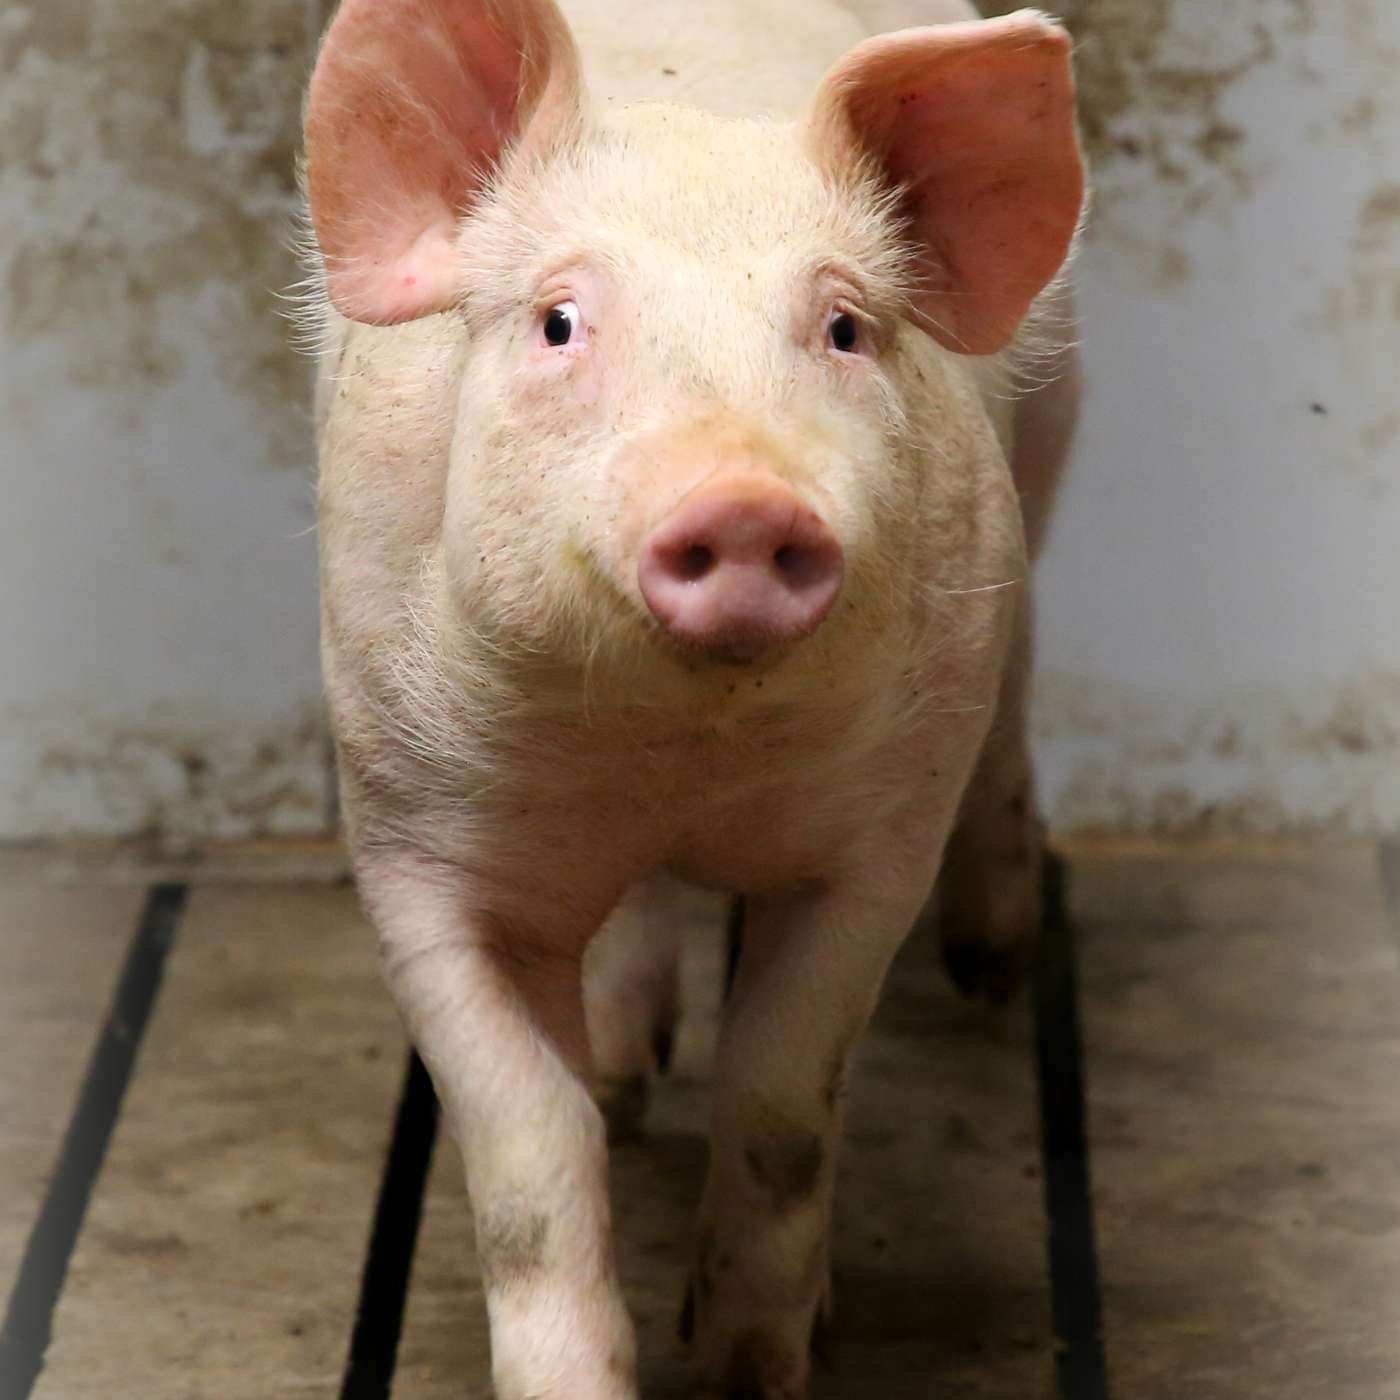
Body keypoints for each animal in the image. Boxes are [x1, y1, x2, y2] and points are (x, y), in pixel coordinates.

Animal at [299, 0, 1083, 1395]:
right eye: (559, 321)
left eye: (842, 329)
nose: (744, 497)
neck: (671, 747)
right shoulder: (410, 835)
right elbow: (527, 1156)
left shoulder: (875, 843)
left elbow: (779, 1098)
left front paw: (751, 1362)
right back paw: (626, 1068)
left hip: (1045, 436)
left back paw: (989, 966)